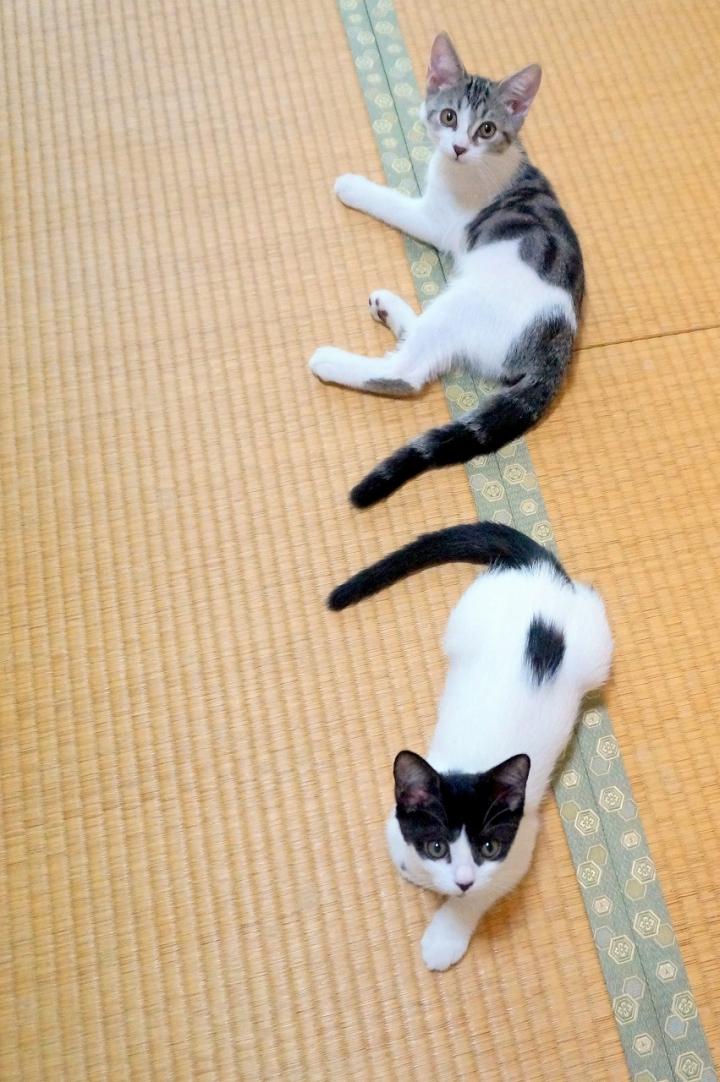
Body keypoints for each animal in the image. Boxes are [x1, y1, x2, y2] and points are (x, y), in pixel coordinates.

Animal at [310, 33, 583, 509]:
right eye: (448, 116)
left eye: (486, 129)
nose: (457, 147)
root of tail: (557, 342)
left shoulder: (434, 219)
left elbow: (393, 202)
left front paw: (352, 185)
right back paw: (390, 309)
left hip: (463, 303)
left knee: (408, 372)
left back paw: (329, 360)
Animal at [328, 522, 612, 970]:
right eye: (438, 846)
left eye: (488, 846)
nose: (461, 880)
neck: (469, 764)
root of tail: (538, 571)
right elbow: (405, 856)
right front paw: (419, 872)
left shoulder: (522, 840)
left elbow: (485, 890)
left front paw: (445, 935)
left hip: (595, 645)